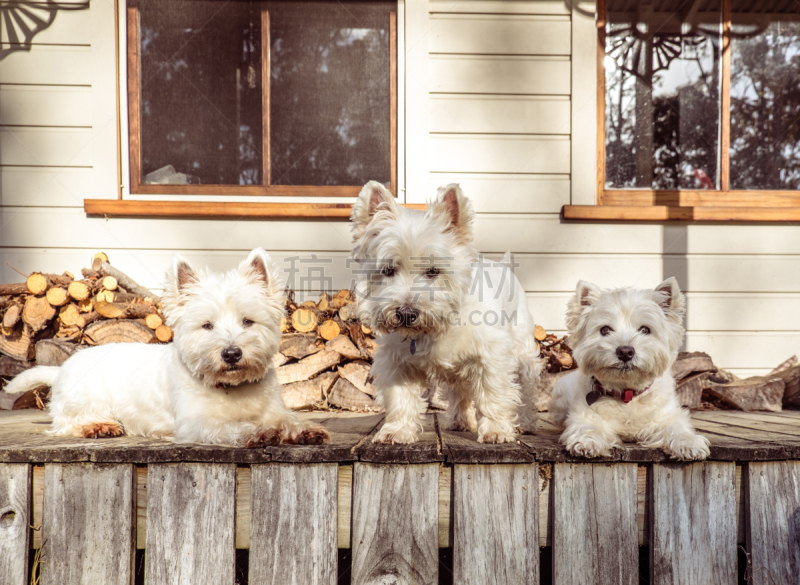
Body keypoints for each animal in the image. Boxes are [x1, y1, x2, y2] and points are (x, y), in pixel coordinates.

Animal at [4, 248, 330, 448]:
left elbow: (286, 418)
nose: (231, 354)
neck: (232, 387)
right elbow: (233, 428)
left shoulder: (273, 407)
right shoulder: (196, 424)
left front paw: (303, 429)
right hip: (85, 397)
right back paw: (99, 426)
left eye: (248, 321)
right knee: (65, 422)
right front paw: (260, 433)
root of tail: (60, 369)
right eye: (207, 325)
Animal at [346, 181, 540, 442]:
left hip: (523, 350)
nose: (406, 313)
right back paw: (460, 422)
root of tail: (504, 266)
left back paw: (526, 423)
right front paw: (397, 431)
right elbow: (400, 398)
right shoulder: (397, 361)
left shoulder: (492, 356)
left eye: (433, 271)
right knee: (460, 391)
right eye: (387, 270)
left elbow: (493, 394)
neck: (439, 326)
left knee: (527, 388)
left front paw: (496, 430)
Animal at [548, 278, 708, 460]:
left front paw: (690, 444)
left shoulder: (667, 416)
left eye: (645, 329)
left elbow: (677, 428)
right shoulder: (584, 416)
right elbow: (587, 427)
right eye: (605, 330)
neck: (627, 394)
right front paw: (587, 442)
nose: (625, 352)